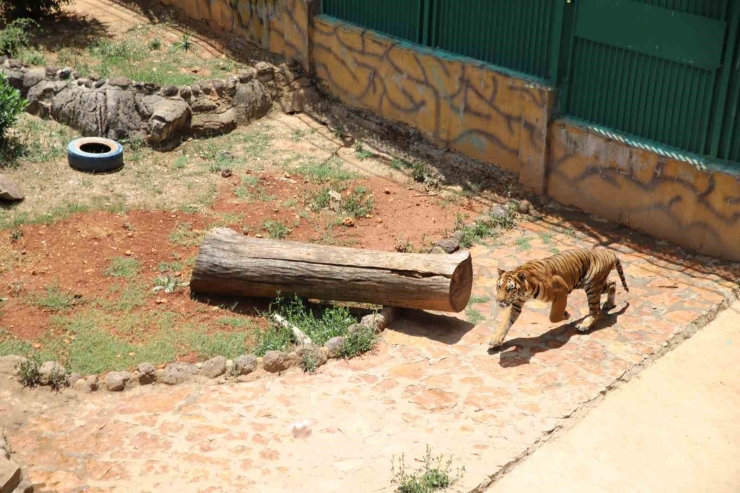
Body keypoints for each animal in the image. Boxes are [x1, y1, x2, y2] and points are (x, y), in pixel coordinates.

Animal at [488, 248, 628, 348]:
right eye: (499, 287)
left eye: (510, 289)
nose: (499, 301)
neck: (525, 291)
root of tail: (608, 252)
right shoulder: (516, 303)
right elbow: (506, 322)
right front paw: (496, 340)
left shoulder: (562, 290)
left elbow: (554, 317)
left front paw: (566, 315)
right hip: (592, 284)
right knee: (613, 283)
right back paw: (609, 304)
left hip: (592, 286)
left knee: (595, 311)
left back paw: (584, 325)